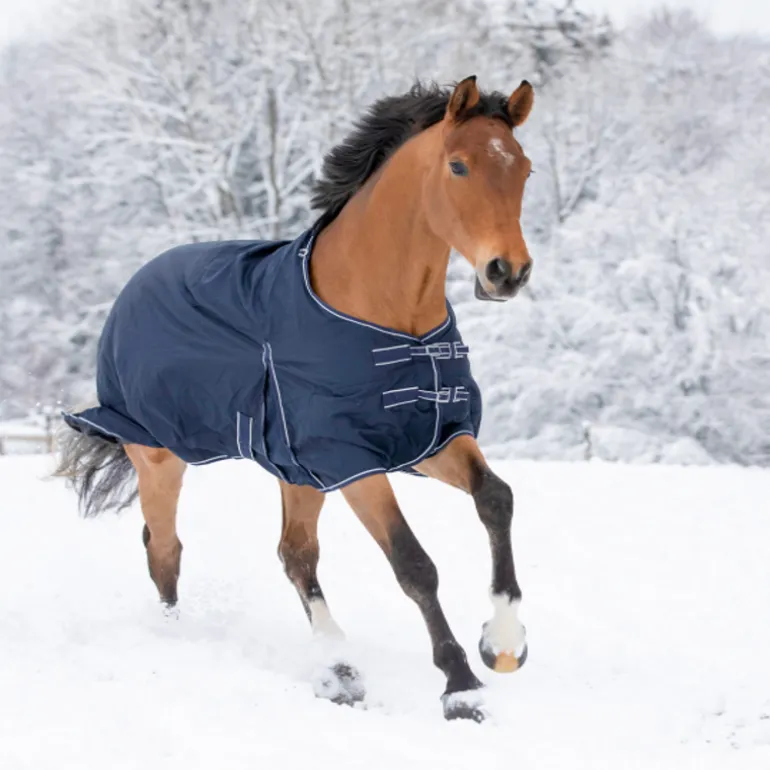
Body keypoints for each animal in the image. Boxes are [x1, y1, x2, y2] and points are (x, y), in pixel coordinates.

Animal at [55, 75, 535, 722]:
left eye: (524, 169)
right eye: (458, 166)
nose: (508, 271)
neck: (391, 316)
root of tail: (134, 284)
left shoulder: (431, 439)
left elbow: (496, 499)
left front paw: (503, 645)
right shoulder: (351, 460)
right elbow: (414, 564)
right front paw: (460, 686)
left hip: (296, 472)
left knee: (294, 554)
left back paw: (340, 672)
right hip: (159, 457)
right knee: (165, 549)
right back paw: (189, 641)